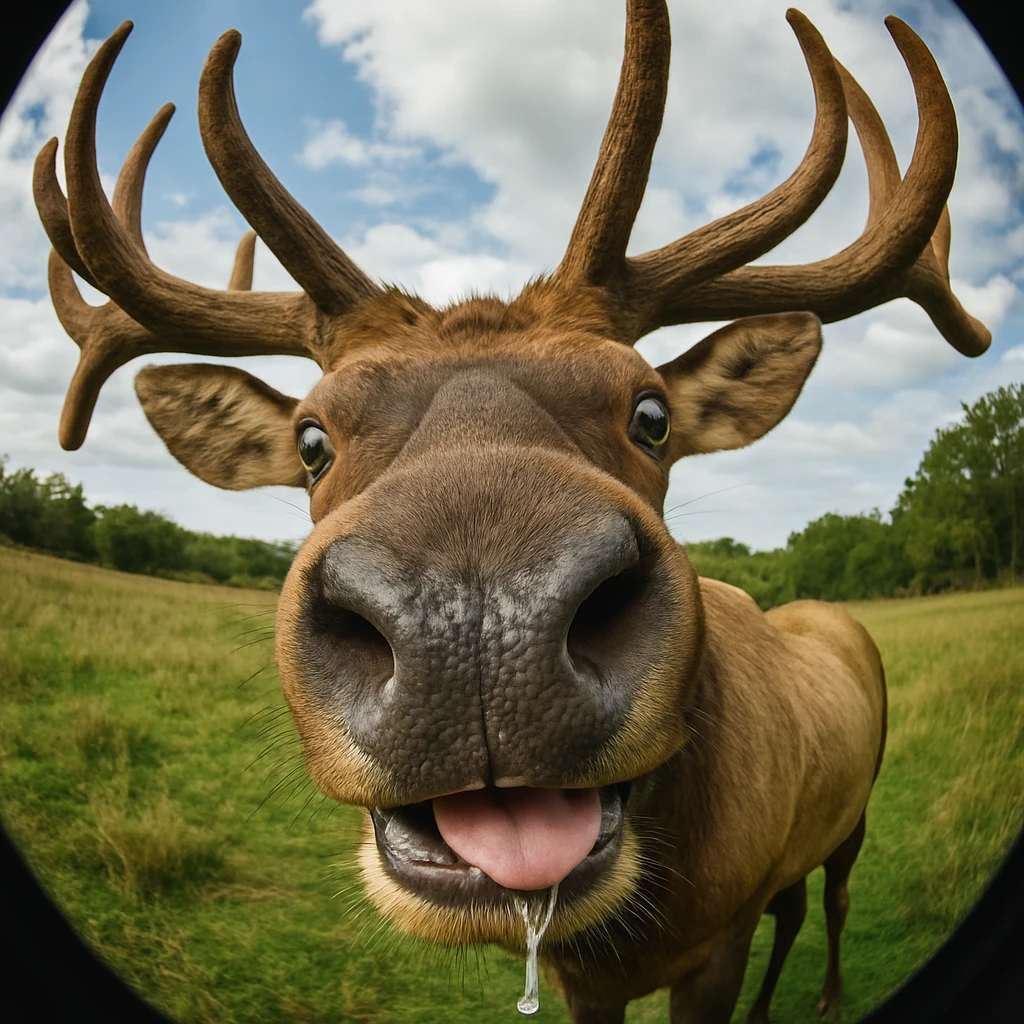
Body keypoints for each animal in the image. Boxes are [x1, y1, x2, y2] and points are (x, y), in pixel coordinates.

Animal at [33, 1, 990, 1021]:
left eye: (652, 412)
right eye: (311, 438)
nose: (477, 623)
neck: (640, 925)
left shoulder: (719, 937)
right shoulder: (585, 979)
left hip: (860, 808)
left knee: (832, 901)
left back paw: (827, 995)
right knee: (799, 905)